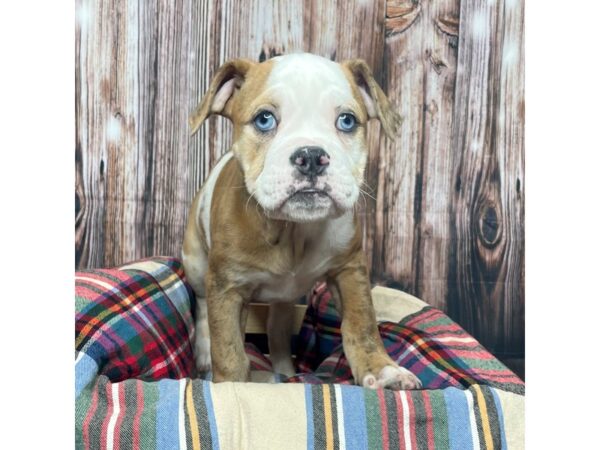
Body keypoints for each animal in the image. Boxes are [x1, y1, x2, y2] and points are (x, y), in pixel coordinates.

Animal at [183, 52, 422, 390]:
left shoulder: (349, 270)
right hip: (195, 262)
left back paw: (286, 372)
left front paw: (382, 369)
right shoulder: (227, 287)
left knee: (278, 330)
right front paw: (231, 385)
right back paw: (204, 353)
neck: (293, 230)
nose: (310, 156)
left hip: (285, 298)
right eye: (264, 119)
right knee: (203, 307)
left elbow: (361, 323)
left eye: (347, 121)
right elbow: (228, 348)